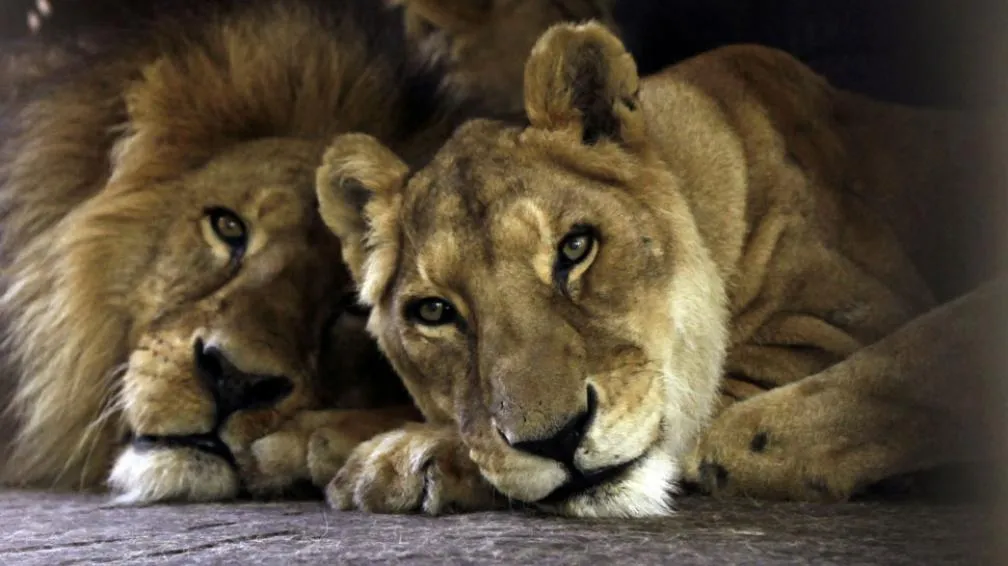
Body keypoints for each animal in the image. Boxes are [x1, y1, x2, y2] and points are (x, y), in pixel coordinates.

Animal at [310, 23, 1003, 515]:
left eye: (576, 248)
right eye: (434, 312)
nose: (557, 440)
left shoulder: (841, 321)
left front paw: (402, 458)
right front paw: (318, 434)